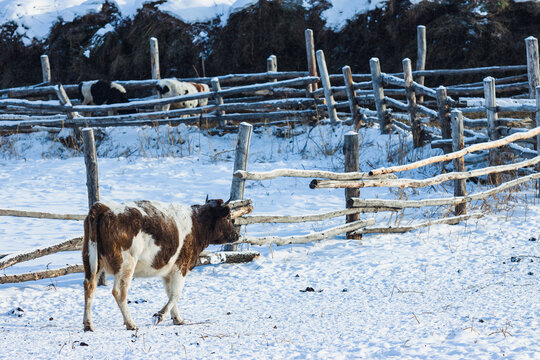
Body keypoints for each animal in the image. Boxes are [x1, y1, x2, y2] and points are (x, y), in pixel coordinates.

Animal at [82, 198, 238, 330]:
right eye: (228, 217)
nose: (236, 235)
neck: (196, 223)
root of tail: (102, 206)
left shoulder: (168, 272)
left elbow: (170, 293)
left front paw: (177, 319)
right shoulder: (181, 266)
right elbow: (176, 294)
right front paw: (160, 315)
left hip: (92, 262)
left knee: (89, 287)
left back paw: (88, 324)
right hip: (126, 265)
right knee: (119, 292)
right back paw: (130, 323)